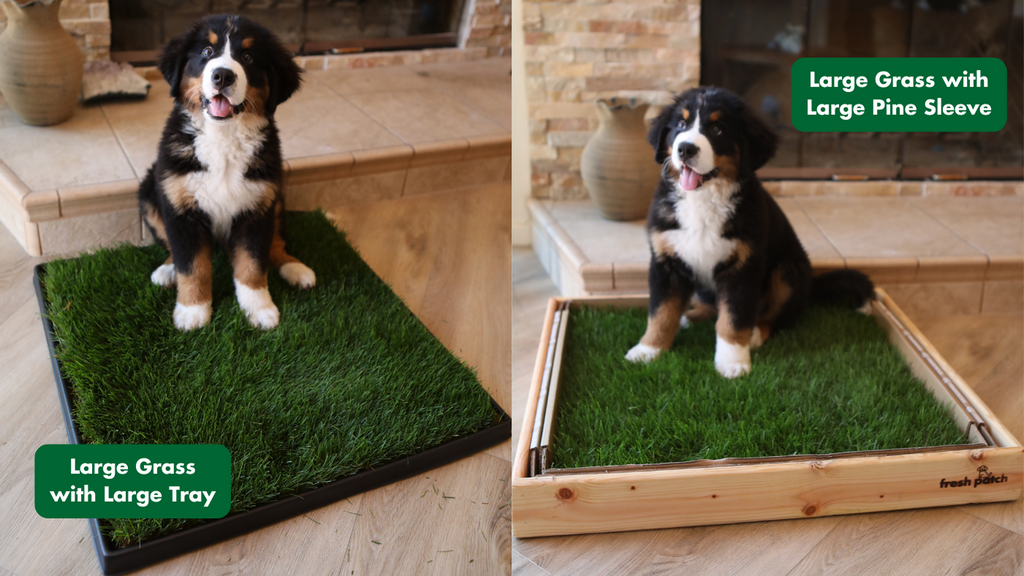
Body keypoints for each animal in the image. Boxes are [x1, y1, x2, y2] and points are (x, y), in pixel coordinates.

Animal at [140, 14, 313, 332]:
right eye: (207, 52)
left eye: (248, 57)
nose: (222, 75)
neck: (223, 137)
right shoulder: (180, 209)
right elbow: (191, 264)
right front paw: (192, 310)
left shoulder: (257, 208)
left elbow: (253, 264)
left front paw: (259, 308)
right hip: (149, 192)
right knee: (171, 248)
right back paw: (167, 271)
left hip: (276, 199)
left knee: (277, 242)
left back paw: (295, 267)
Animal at [622, 86, 872, 377]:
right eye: (681, 125)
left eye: (717, 129)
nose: (685, 148)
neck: (703, 199)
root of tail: (811, 286)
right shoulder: (666, 261)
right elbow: (661, 312)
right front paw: (648, 349)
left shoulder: (743, 267)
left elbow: (734, 318)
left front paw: (732, 361)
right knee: (711, 305)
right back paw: (690, 316)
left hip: (787, 270)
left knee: (775, 317)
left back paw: (755, 334)